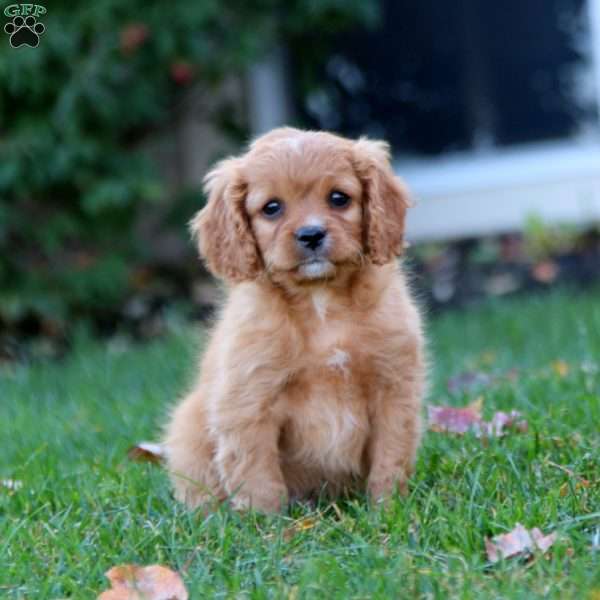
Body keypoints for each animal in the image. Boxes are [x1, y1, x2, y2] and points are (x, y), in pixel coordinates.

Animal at [164, 125, 426, 510]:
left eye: (339, 198)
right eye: (271, 208)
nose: (311, 234)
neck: (321, 304)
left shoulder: (393, 387)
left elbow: (390, 455)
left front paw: (388, 508)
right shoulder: (249, 402)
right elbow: (257, 473)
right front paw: (266, 522)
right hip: (187, 430)